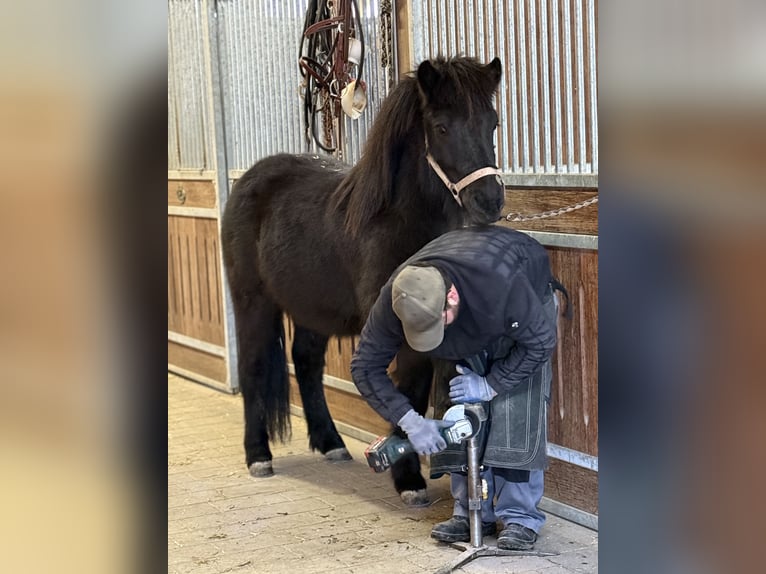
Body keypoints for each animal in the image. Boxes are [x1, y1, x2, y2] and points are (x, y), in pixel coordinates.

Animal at [221, 56, 505, 506]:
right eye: (442, 127)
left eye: (491, 123)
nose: (489, 201)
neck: (396, 221)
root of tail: (251, 180)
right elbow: (406, 390)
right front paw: (409, 480)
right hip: (252, 302)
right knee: (254, 366)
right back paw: (258, 456)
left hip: (312, 309)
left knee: (306, 363)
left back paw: (332, 444)